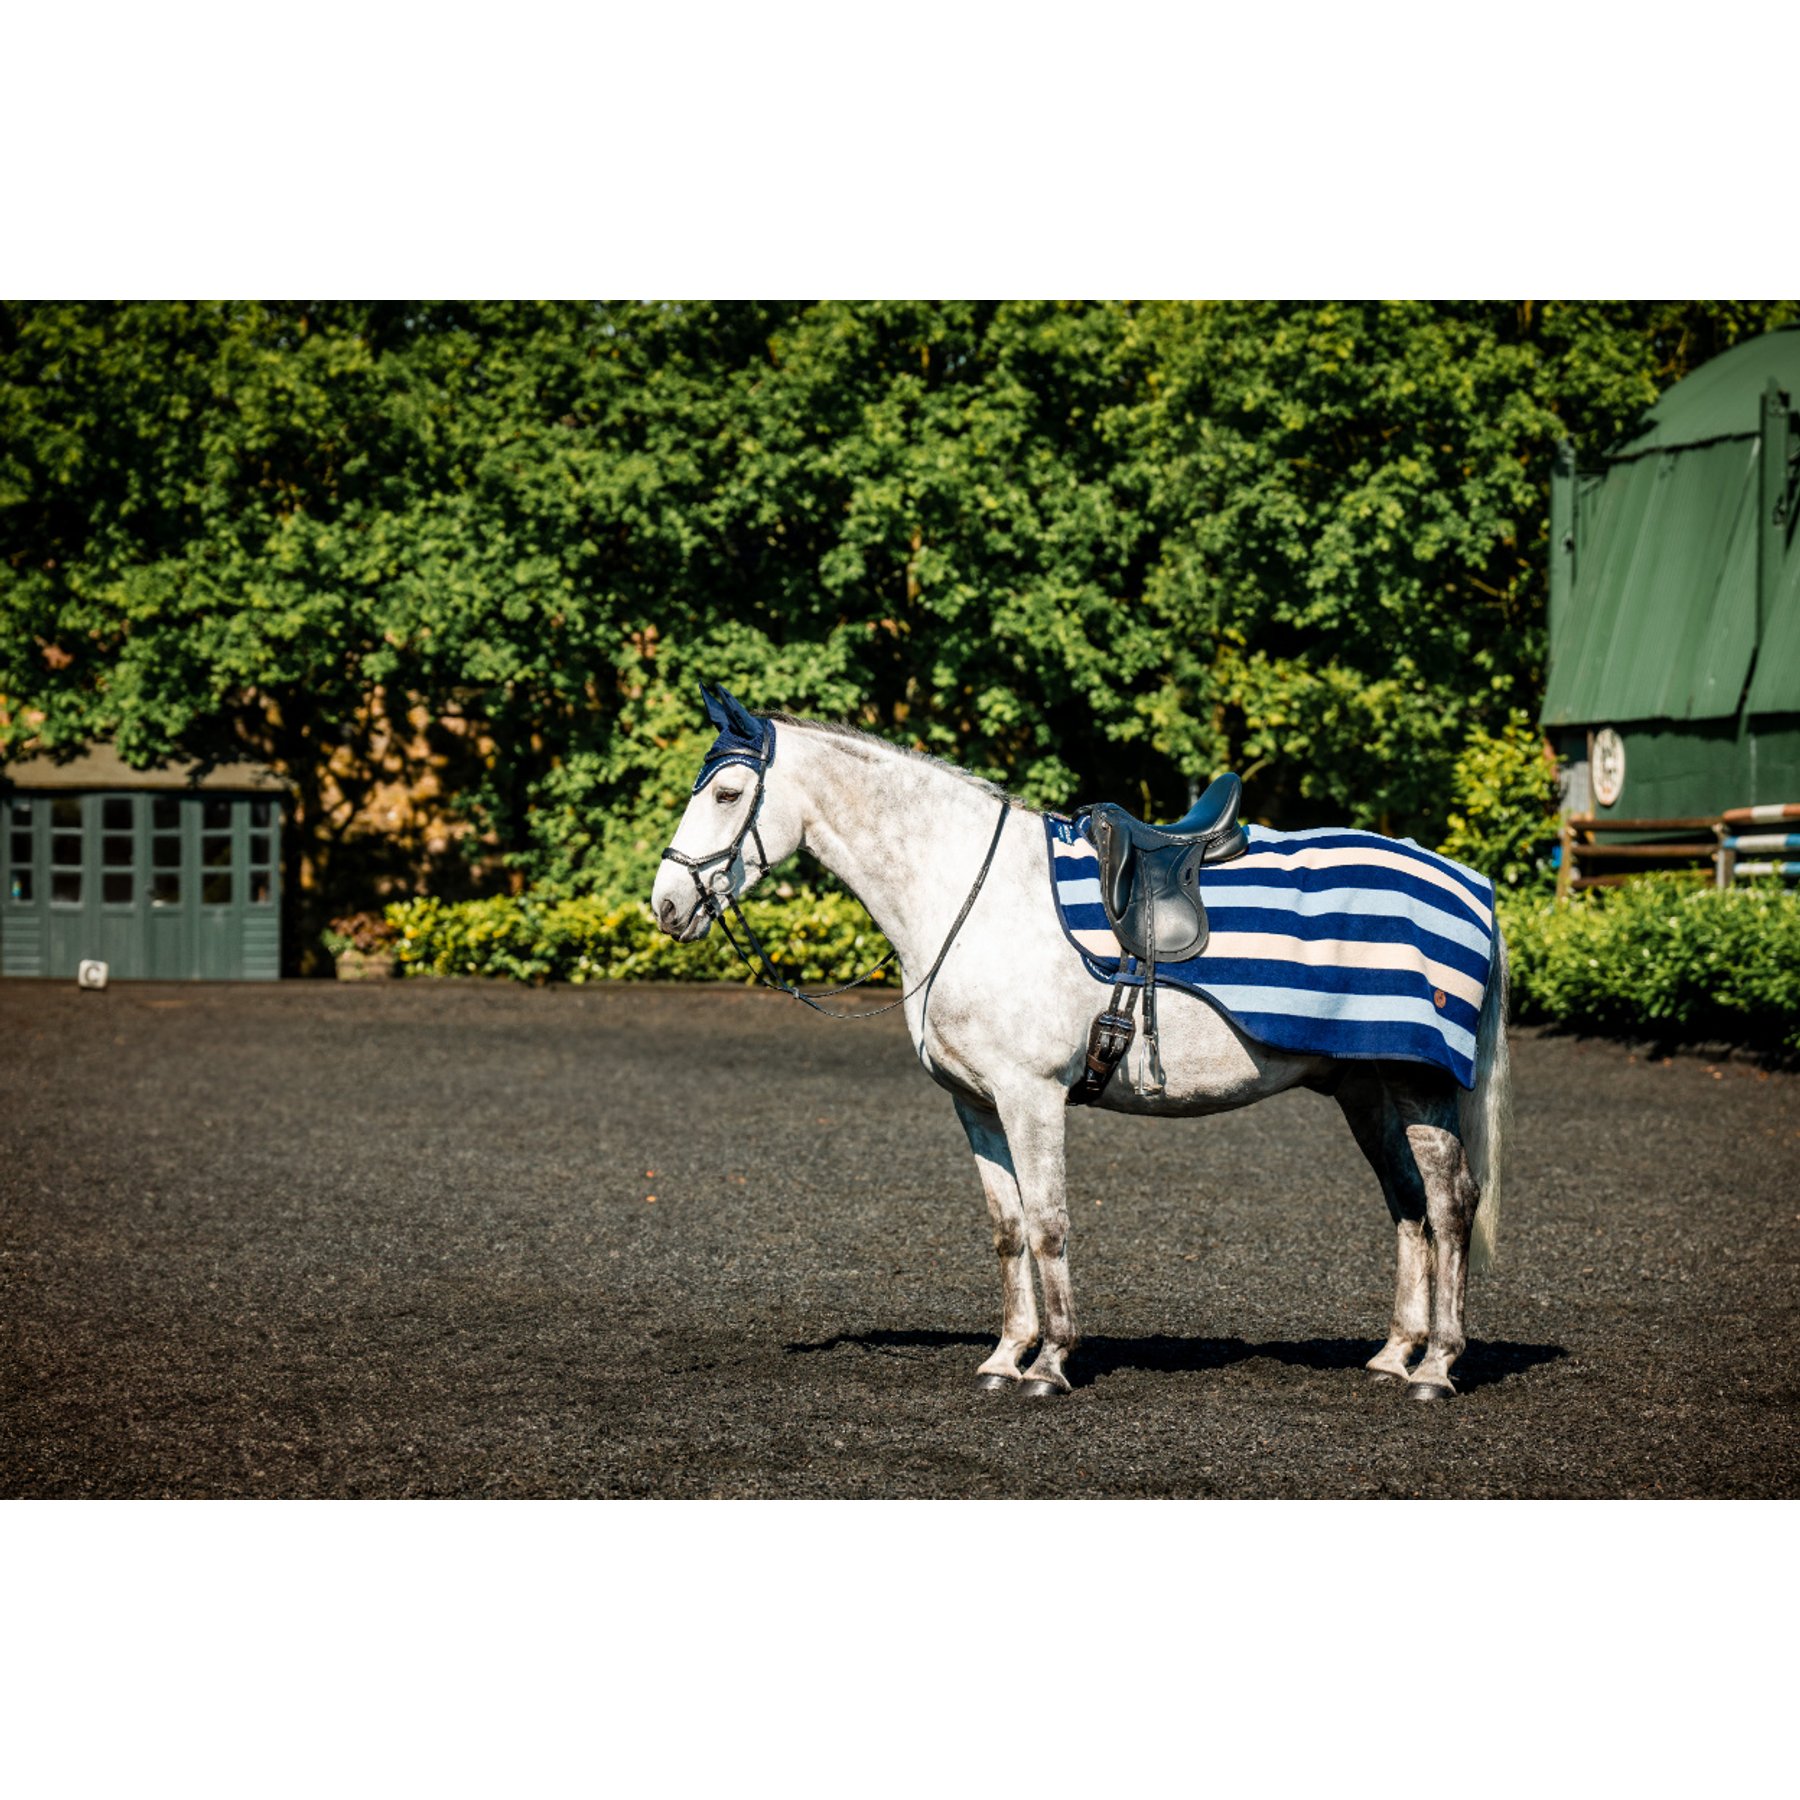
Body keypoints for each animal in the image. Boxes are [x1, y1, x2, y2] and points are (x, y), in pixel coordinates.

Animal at [651, 687, 1511, 1402]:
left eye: (727, 793)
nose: (665, 905)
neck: (971, 895)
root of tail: (1470, 885)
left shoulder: (1031, 1096)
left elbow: (1048, 1222)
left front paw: (1052, 1363)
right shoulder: (978, 1105)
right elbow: (1007, 1231)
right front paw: (1006, 1357)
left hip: (1417, 1084)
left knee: (1450, 1204)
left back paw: (1436, 1367)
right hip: (1367, 1089)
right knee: (1409, 1207)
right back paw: (1394, 1355)